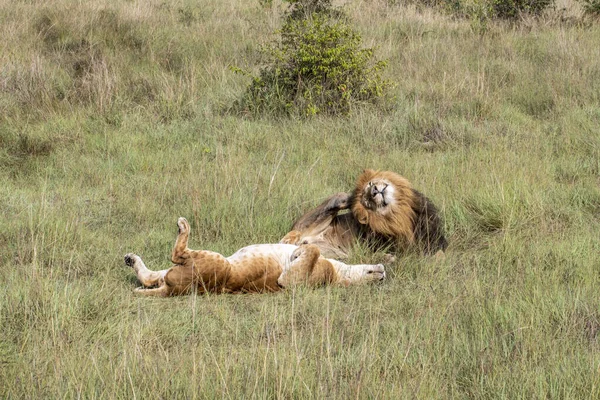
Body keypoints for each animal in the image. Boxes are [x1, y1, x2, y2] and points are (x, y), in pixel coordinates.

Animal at [125, 216, 386, 296]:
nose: (384, 274)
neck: (338, 274)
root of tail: (175, 290)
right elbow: (299, 242)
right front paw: (295, 244)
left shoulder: (295, 283)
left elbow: (312, 252)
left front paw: (298, 252)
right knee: (150, 278)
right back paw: (131, 259)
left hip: (214, 260)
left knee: (177, 254)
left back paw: (183, 226)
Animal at [280, 170, 446, 260]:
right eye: (368, 200)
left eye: (370, 183)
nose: (375, 191)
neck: (399, 212)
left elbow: (439, 251)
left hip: (335, 252)